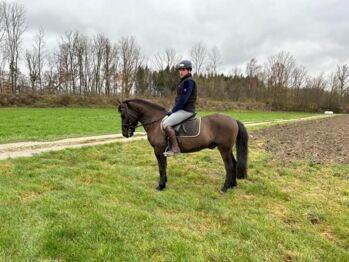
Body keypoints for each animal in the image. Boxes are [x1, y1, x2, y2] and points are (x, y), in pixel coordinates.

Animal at [118, 98, 249, 192]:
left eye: (123, 115)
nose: (125, 133)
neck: (156, 122)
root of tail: (233, 120)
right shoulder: (163, 151)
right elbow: (164, 166)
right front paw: (164, 183)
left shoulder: (158, 150)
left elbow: (161, 167)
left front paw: (160, 186)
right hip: (228, 149)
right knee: (234, 163)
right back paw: (233, 185)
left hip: (224, 149)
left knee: (229, 166)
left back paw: (225, 188)